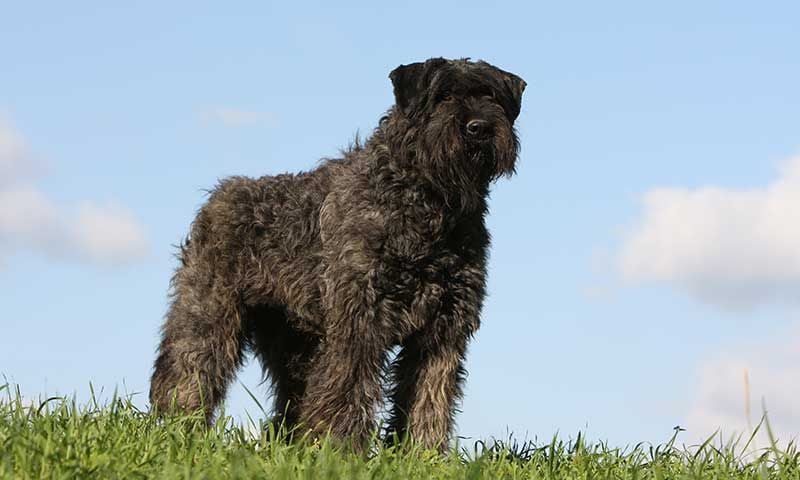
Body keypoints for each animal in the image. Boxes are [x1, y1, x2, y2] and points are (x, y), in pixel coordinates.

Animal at [150, 57, 524, 450]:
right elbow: (348, 386)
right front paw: (340, 448)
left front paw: (421, 451)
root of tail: (216, 198)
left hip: (294, 342)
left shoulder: (443, 329)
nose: (478, 127)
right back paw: (180, 430)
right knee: (188, 372)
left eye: (491, 96)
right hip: (209, 317)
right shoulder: (358, 319)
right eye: (443, 96)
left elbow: (430, 396)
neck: (428, 205)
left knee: (292, 400)